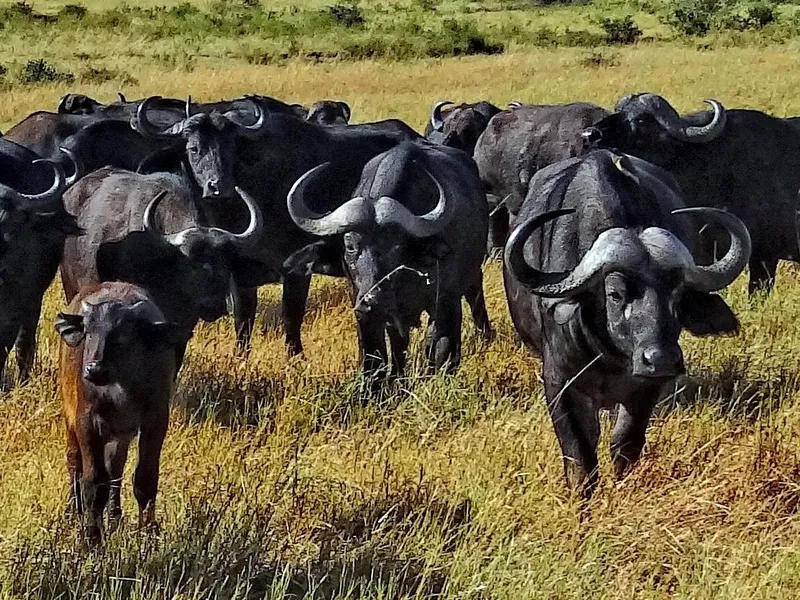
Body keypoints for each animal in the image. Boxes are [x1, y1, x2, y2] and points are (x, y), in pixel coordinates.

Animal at [55, 282, 181, 544]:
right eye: (89, 331)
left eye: (123, 335)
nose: (94, 368)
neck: (119, 384)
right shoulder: (86, 421)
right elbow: (94, 482)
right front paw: (91, 537)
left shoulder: (155, 419)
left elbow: (144, 479)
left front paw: (147, 532)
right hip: (70, 417)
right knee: (74, 462)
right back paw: (74, 512)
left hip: (121, 434)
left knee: (115, 470)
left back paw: (115, 518)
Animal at [284, 142, 490, 380]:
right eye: (350, 246)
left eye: (397, 247)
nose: (374, 300)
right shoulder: (365, 315)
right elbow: (375, 360)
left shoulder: (447, 304)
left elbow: (443, 352)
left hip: (473, 276)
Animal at [506, 150, 752, 496]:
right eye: (615, 293)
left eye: (678, 294)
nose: (661, 359)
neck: (609, 355)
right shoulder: (560, 383)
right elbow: (580, 454)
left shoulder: (645, 387)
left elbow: (625, 443)